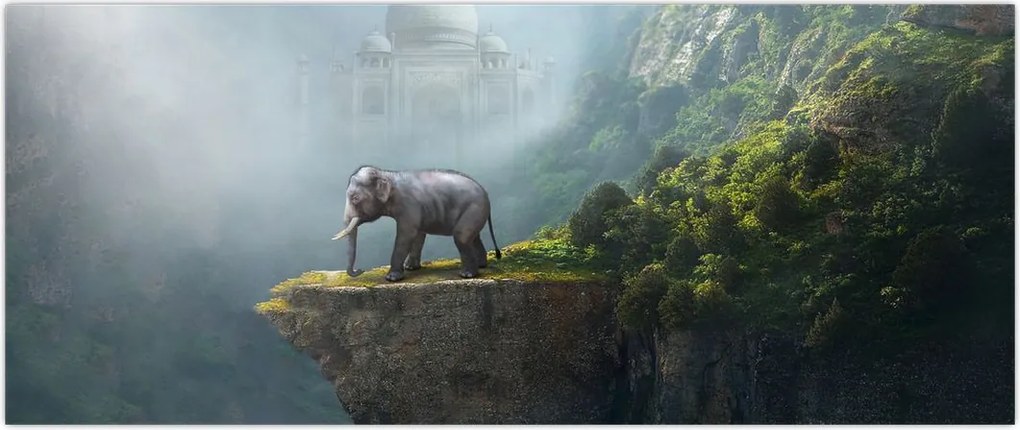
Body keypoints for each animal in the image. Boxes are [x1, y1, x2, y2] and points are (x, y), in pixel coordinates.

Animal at [331, 165, 502, 282]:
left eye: (355, 198)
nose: (360, 270)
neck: (388, 174)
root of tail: (485, 192)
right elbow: (418, 235)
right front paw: (410, 268)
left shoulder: (409, 206)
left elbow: (406, 235)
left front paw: (392, 278)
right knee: (473, 238)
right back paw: (481, 265)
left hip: (474, 209)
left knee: (461, 237)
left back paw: (466, 274)